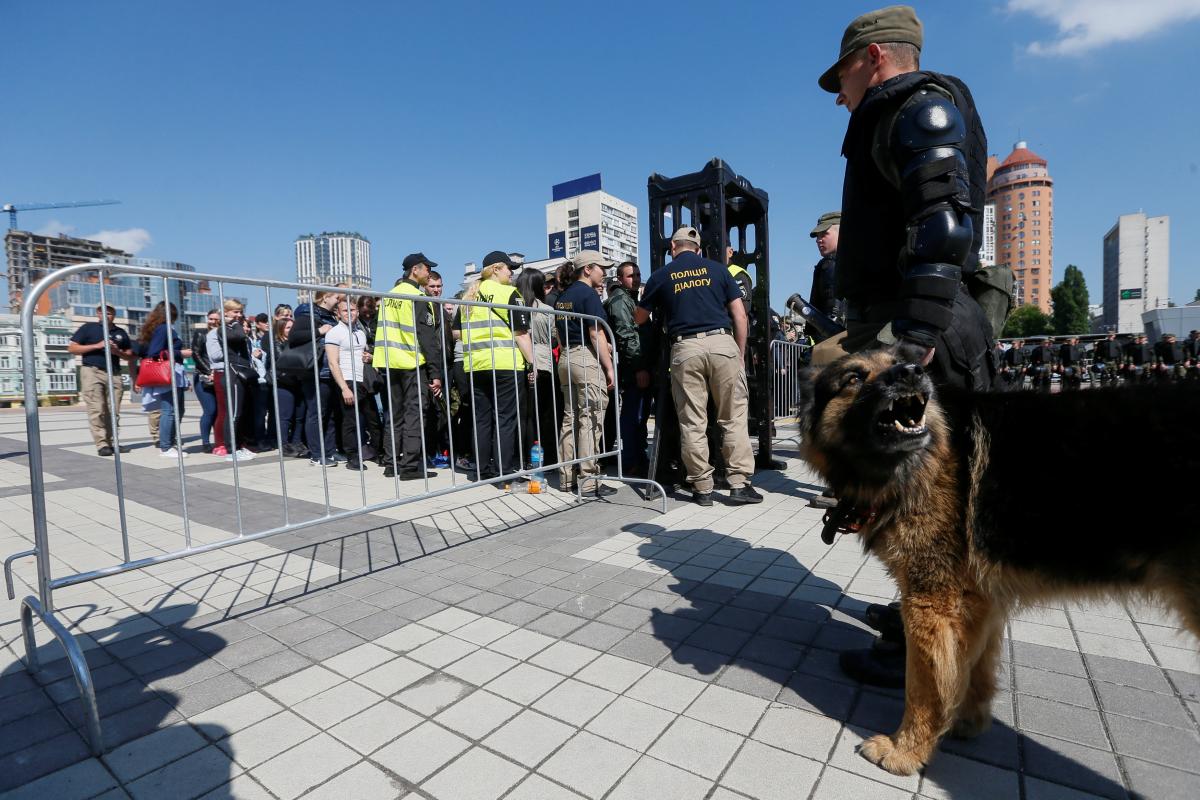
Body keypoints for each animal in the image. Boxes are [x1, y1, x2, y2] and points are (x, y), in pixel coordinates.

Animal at [796, 347, 1200, 777]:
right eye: (854, 378)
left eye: (897, 360)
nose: (912, 372)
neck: (931, 457)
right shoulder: (978, 602)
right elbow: (972, 671)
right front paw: (963, 722)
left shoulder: (931, 603)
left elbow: (925, 686)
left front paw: (906, 749)